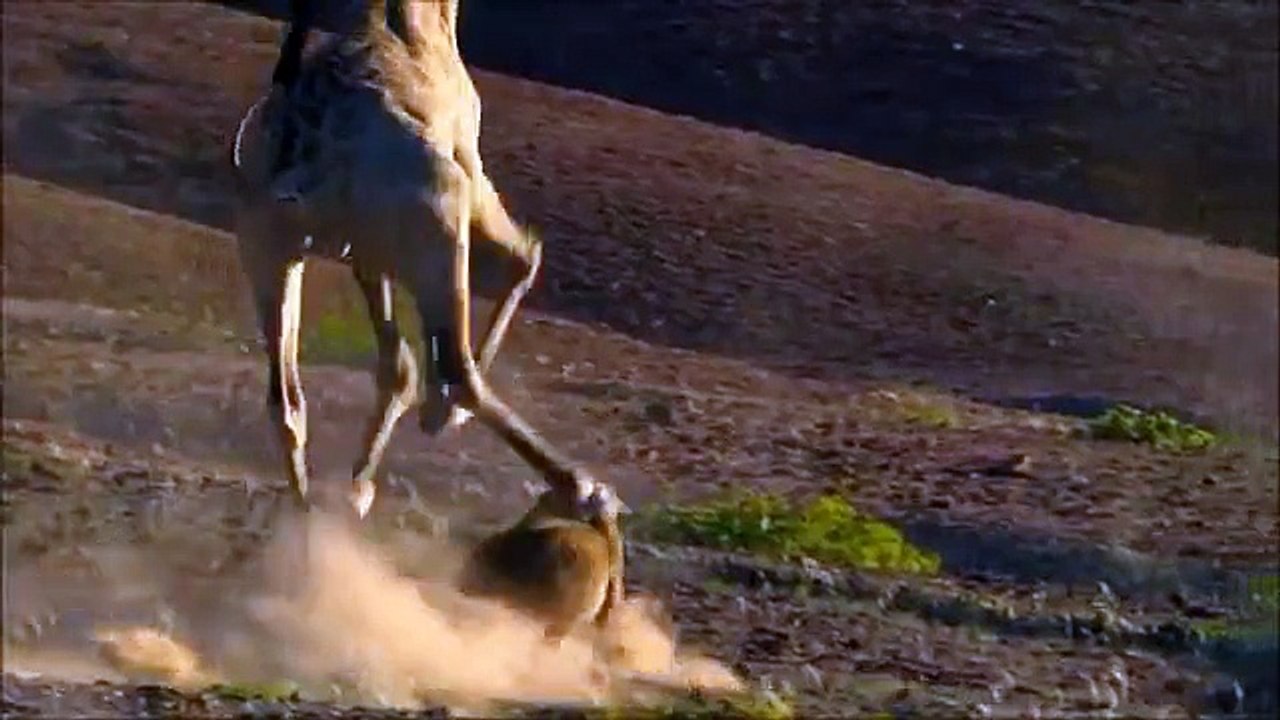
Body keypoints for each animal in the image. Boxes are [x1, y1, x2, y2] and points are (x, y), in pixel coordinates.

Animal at [228, 0, 601, 520]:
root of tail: (303, 162)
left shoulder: (366, 254)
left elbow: (395, 366)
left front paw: (358, 487)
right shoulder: (466, 175)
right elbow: (525, 259)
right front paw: (440, 418)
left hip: (267, 252)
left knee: (286, 403)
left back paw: (314, 514)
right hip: (440, 224)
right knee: (457, 370)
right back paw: (581, 489)